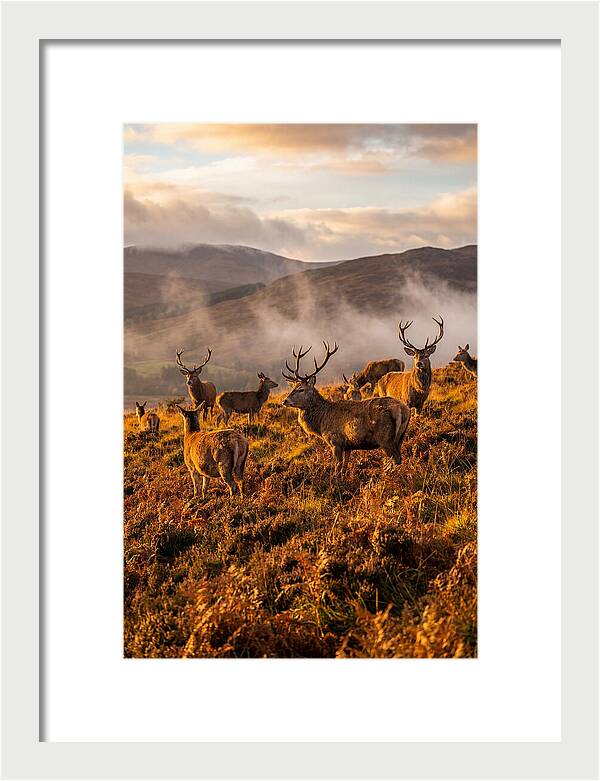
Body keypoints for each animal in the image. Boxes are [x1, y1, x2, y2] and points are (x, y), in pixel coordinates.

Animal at [282, 342, 411, 477]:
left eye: (301, 389)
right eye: (293, 388)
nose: (285, 401)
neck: (321, 421)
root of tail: (402, 409)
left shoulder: (335, 441)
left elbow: (337, 467)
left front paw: (335, 480)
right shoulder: (348, 446)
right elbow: (345, 466)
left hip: (385, 438)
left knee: (396, 458)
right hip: (401, 436)